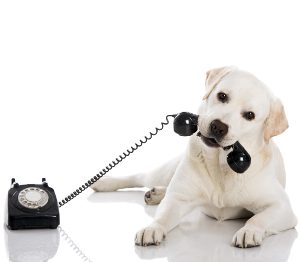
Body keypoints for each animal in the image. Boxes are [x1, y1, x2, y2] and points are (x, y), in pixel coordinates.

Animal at [92, 67, 298, 248]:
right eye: (222, 96)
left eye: (249, 115)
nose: (218, 126)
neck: (220, 164)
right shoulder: (177, 200)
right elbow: (163, 216)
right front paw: (152, 228)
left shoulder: (282, 208)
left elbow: (259, 218)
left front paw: (249, 231)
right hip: (166, 171)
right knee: (140, 177)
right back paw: (104, 182)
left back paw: (156, 193)